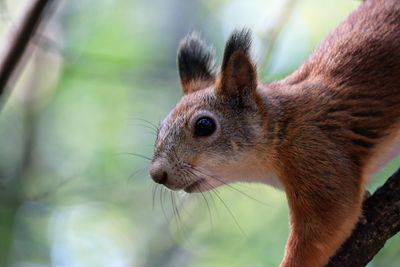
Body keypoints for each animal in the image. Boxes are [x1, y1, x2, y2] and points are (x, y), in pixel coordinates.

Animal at [148, 1, 400, 266]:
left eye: (204, 126)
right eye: (160, 128)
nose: (157, 174)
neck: (280, 129)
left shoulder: (317, 152)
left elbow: (326, 222)